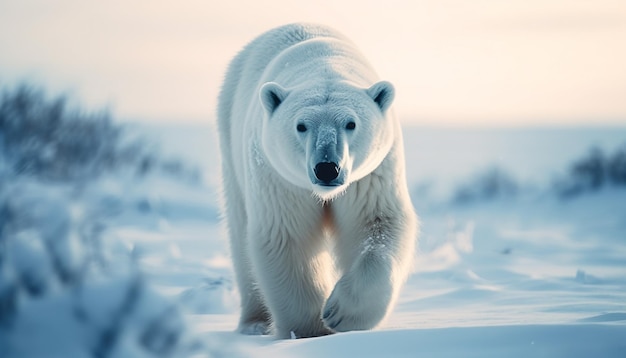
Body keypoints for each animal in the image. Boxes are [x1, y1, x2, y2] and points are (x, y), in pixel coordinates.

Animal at [217, 23, 416, 340]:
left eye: (351, 123)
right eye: (301, 125)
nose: (326, 169)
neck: (324, 62)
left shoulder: (371, 175)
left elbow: (377, 223)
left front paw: (340, 313)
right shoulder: (280, 178)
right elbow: (288, 237)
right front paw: (311, 330)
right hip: (230, 143)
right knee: (240, 236)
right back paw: (254, 323)